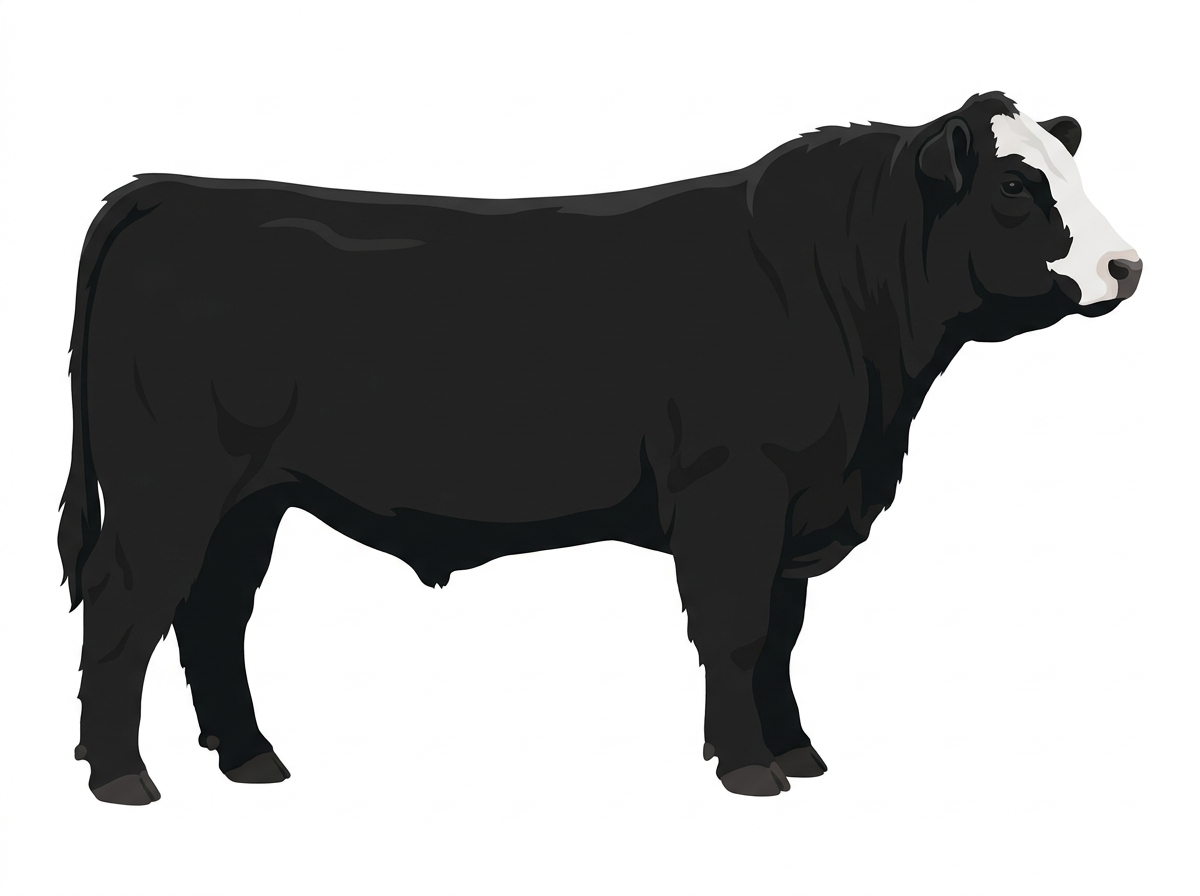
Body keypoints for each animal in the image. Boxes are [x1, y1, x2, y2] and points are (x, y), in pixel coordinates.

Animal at [58, 91, 1141, 804]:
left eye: (1069, 170)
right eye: (1016, 184)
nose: (1126, 265)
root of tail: (164, 190)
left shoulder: (796, 503)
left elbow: (783, 634)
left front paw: (797, 751)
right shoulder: (735, 491)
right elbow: (738, 630)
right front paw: (750, 768)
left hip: (247, 498)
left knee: (212, 611)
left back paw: (251, 758)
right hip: (168, 485)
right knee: (126, 604)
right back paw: (122, 776)